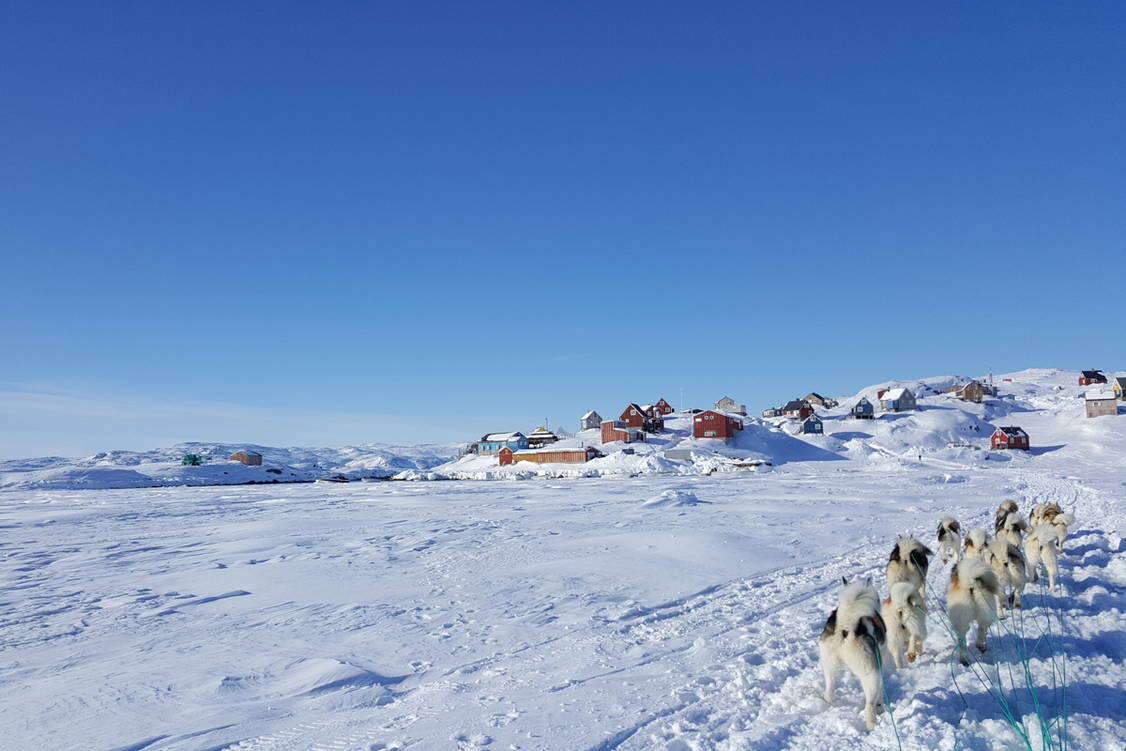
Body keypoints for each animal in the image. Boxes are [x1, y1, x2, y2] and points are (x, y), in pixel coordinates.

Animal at [819, 580, 887, 729]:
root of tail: (846, 628)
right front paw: (881, 707)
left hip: (828, 667)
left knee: (829, 692)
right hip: (871, 674)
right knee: (869, 706)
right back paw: (873, 725)